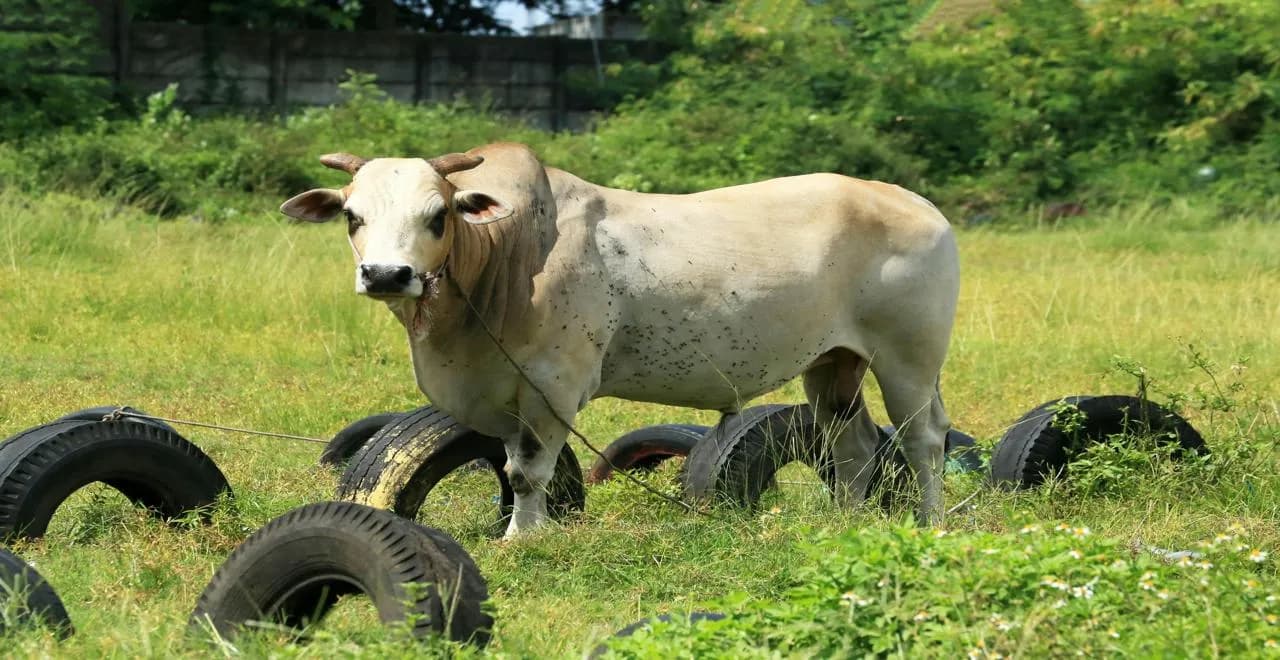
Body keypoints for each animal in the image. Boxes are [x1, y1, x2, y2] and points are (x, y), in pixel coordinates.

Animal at [282, 141, 962, 534]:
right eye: (352, 216)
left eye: (438, 215)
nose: (387, 275)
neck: (505, 256)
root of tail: (920, 205)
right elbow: (517, 466)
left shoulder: (552, 388)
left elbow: (527, 472)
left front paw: (522, 539)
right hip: (833, 364)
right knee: (853, 444)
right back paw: (844, 522)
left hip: (908, 360)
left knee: (923, 440)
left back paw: (929, 521)